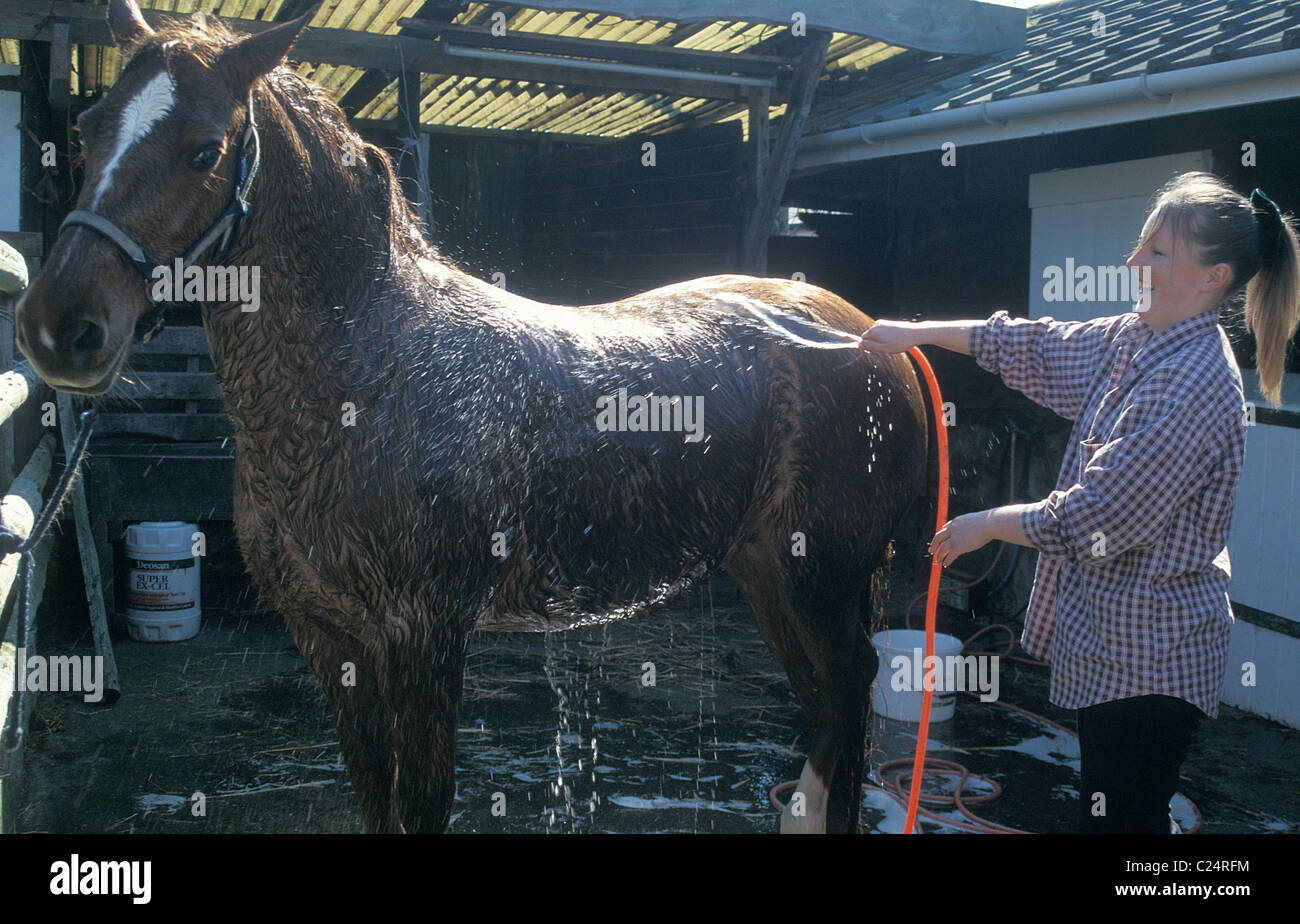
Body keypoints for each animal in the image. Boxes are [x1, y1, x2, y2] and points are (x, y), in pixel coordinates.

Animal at [16, 0, 928, 833]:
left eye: (204, 150)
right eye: (88, 129)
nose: (59, 327)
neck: (365, 372)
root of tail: (871, 332)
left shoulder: (423, 639)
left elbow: (420, 803)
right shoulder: (330, 641)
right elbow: (374, 799)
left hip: (818, 582)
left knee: (845, 709)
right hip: (771, 575)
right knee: (829, 715)